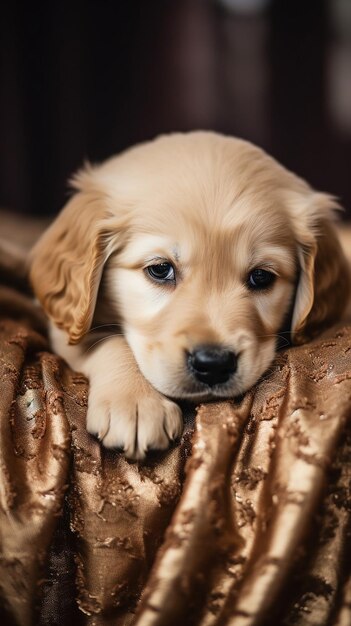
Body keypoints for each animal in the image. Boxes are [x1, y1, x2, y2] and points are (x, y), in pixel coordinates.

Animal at [28, 132, 350, 458]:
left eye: (261, 277)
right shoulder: (64, 324)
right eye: (160, 269)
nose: (214, 364)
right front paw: (135, 402)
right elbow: (106, 339)